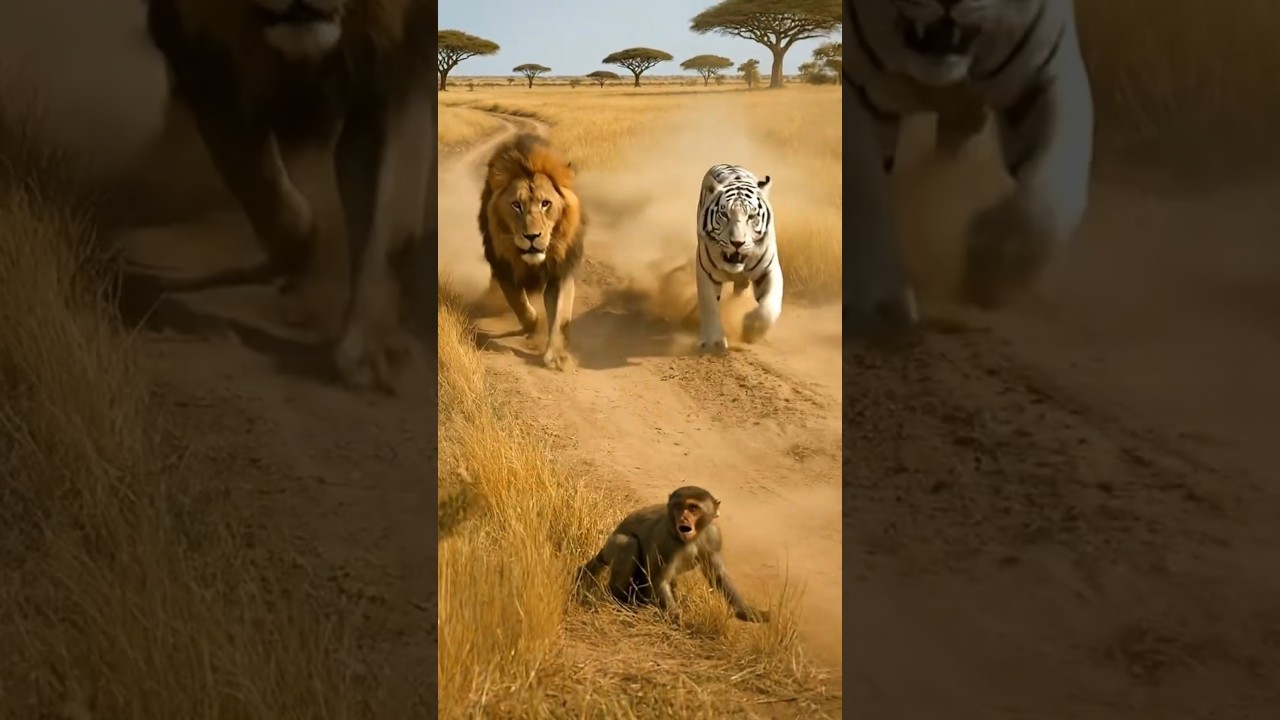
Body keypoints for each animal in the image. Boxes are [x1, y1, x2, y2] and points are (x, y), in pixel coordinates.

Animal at [141, 0, 436, 392]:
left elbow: (386, 224)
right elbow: (258, 184)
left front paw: (377, 347)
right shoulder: (204, 60)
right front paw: (300, 258)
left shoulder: (393, 67)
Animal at [479, 133, 586, 371]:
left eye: (545, 203)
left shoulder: (560, 271)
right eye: (516, 205)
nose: (531, 237)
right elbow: (519, 304)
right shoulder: (505, 269)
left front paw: (557, 356)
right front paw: (534, 326)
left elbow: (561, 315)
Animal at [576, 485, 769, 624]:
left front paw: (747, 612)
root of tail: (602, 550)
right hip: (613, 549)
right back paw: (621, 600)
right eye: (678, 506)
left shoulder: (714, 536)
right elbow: (659, 578)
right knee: (628, 543)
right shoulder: (666, 542)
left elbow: (719, 575)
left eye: (693, 508)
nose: (683, 518)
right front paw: (675, 616)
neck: (691, 538)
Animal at [695, 163, 784, 353]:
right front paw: (714, 343)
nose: (737, 243)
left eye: (751, 216)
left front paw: (750, 330)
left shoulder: (769, 270)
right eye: (724, 215)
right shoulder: (705, 272)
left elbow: (769, 308)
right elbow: (709, 306)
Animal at [844, 0, 1094, 338]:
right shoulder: (854, 88)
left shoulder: (1044, 77)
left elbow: (1047, 205)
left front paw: (989, 280)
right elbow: (862, 192)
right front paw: (879, 304)